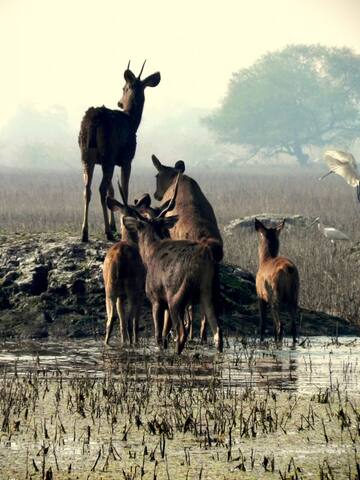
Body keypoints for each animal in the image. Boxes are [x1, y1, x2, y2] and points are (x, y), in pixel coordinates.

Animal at [80, 61, 162, 242]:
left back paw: (85, 232)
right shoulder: (127, 159)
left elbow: (112, 190)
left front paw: (114, 225)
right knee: (100, 189)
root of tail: (94, 120)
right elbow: (124, 188)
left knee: (88, 189)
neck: (133, 121)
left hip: (87, 155)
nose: (119, 102)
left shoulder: (109, 161)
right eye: (124, 87)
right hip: (107, 153)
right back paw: (107, 233)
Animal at [151, 156, 224, 340]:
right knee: (208, 304)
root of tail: (208, 244)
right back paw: (203, 333)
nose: (156, 194)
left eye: (157, 175)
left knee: (188, 302)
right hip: (211, 272)